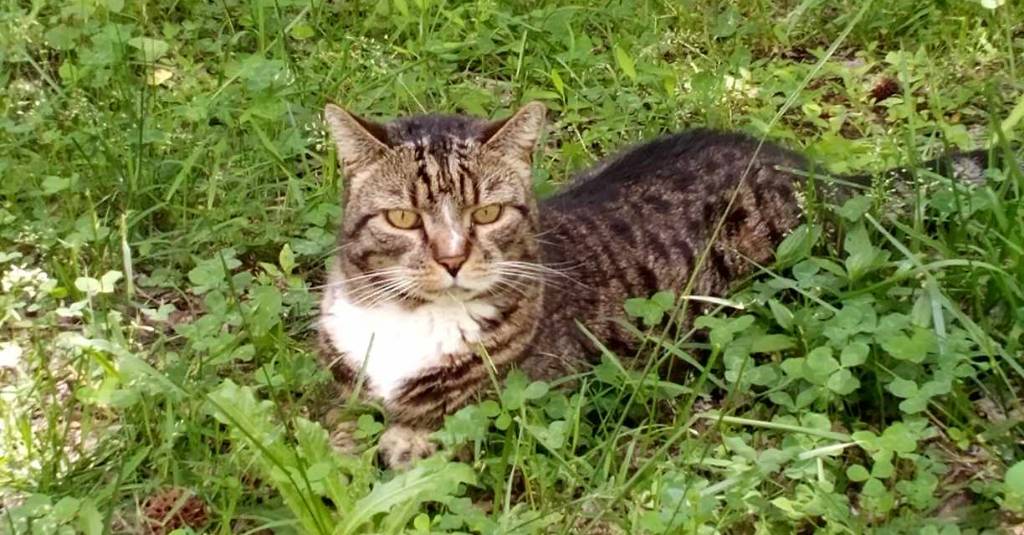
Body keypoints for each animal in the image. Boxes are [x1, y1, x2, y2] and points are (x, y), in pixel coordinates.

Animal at [315, 100, 987, 467]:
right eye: (404, 219)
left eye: (487, 213)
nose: (453, 259)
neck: (408, 321)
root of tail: (827, 176)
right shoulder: (344, 386)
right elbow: (335, 426)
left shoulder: (534, 399)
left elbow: (441, 431)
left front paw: (404, 442)